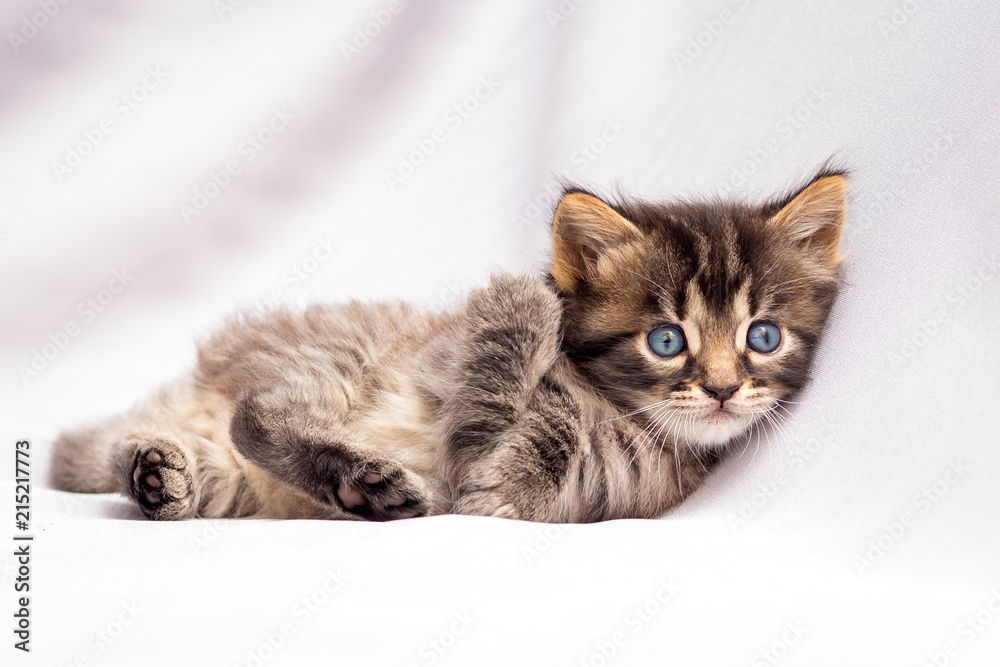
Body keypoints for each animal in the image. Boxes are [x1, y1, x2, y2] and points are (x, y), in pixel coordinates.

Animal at [50, 171, 848, 520]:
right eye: (666, 339)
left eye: (763, 336)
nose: (721, 387)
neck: (604, 409)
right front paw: (524, 297)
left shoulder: (489, 485)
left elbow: (481, 430)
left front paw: (520, 304)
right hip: (337, 358)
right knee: (254, 415)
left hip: (252, 466)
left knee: (231, 436)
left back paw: (169, 476)